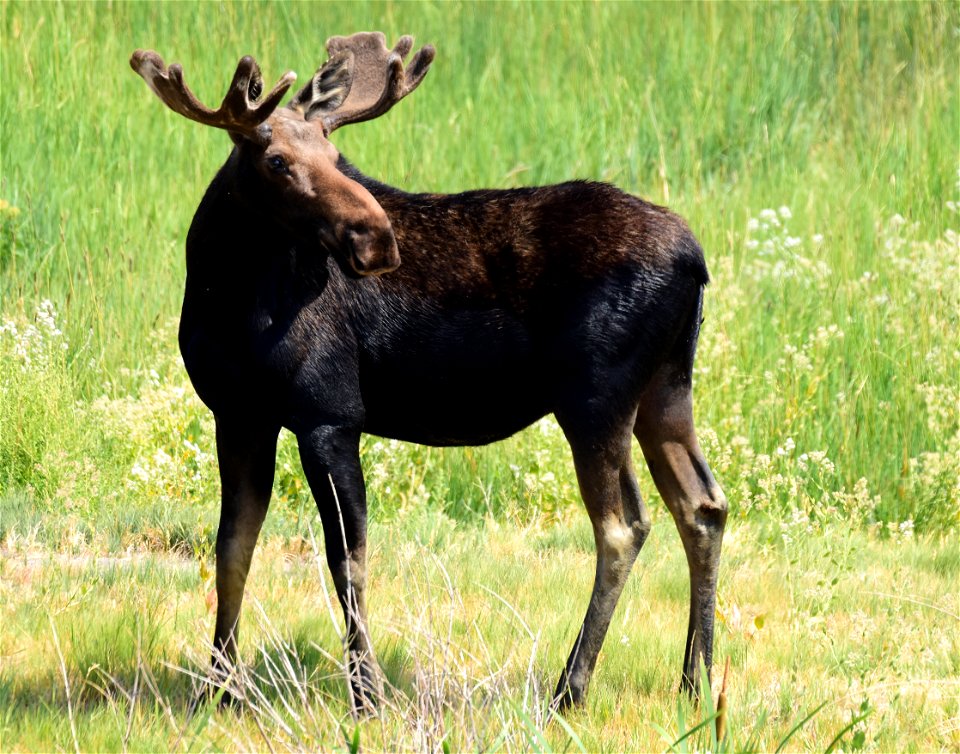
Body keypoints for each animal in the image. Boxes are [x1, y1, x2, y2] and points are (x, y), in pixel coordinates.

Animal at [127, 29, 728, 712]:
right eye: (276, 160)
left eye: (336, 153)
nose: (376, 238)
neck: (222, 294)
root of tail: (696, 259)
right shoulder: (238, 413)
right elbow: (233, 547)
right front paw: (218, 690)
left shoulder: (328, 412)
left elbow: (347, 557)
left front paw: (367, 695)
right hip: (666, 387)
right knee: (702, 504)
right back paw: (695, 679)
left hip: (597, 396)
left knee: (622, 525)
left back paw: (570, 688)